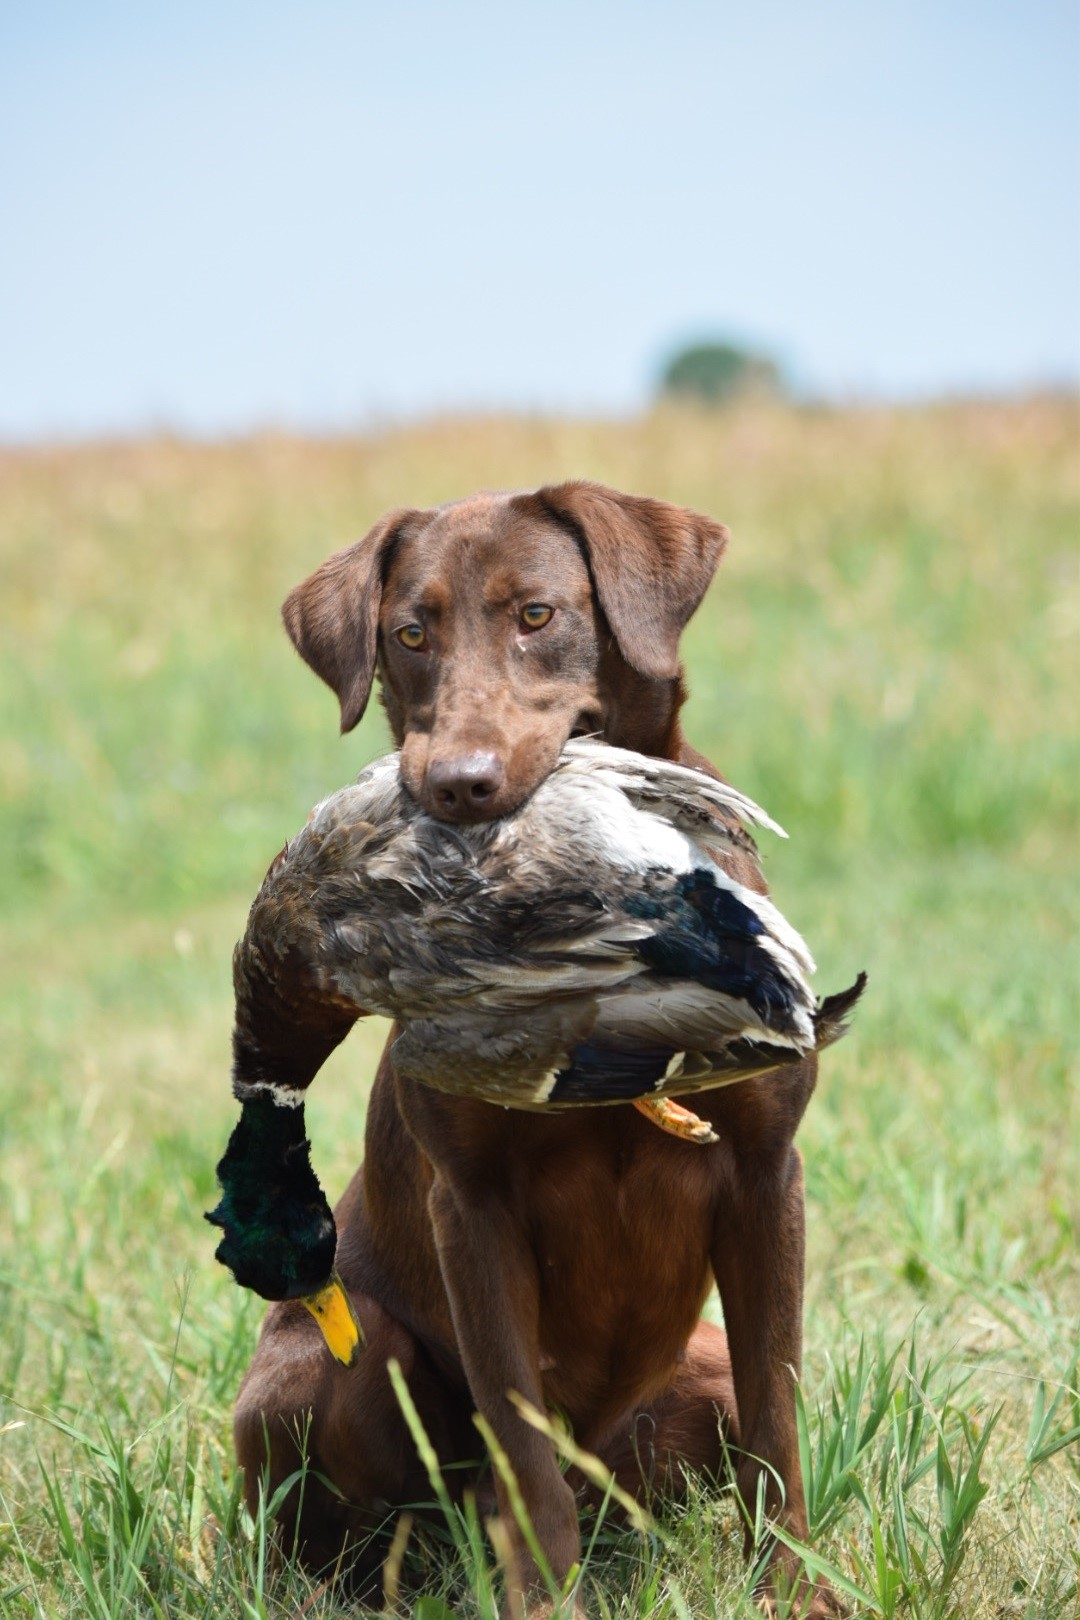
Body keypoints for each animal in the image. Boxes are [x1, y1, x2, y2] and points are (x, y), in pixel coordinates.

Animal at [236, 473, 841, 1613]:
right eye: (409, 632)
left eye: (537, 614)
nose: (457, 784)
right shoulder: (470, 1205)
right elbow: (520, 1453)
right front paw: (542, 1600)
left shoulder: (765, 1177)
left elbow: (777, 1419)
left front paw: (795, 1589)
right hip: (338, 1359)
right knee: (400, 1515)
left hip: (688, 1370)